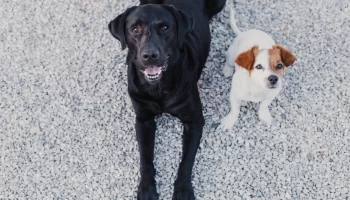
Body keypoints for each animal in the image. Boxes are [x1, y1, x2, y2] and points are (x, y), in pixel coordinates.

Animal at [108, 0, 226, 199]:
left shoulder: (194, 121)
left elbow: (186, 160)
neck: (158, 88)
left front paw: (183, 189)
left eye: (164, 28)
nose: (149, 55)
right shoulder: (143, 119)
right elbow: (145, 158)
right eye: (134, 29)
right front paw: (146, 188)